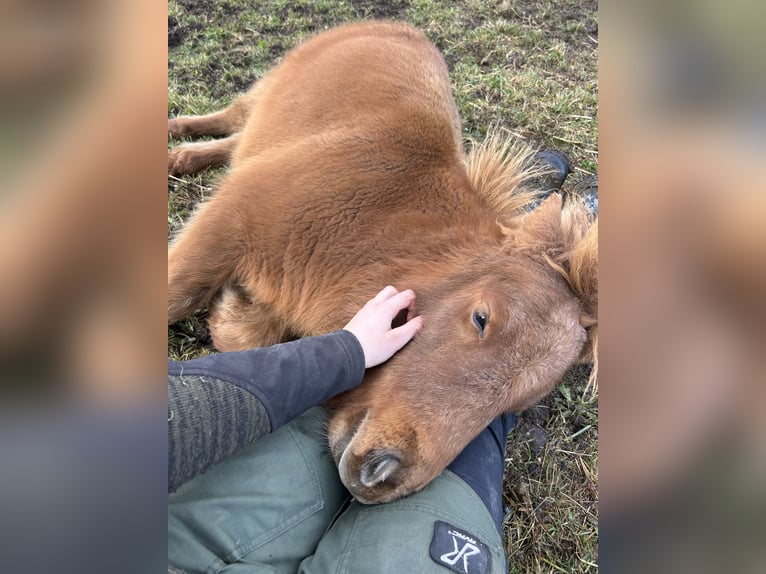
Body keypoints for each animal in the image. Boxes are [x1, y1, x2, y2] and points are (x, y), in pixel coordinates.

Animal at [167, 20, 598, 504]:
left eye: (517, 405)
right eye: (481, 318)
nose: (383, 474)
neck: (379, 219)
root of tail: (401, 28)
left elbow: (249, 338)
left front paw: (233, 311)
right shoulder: (226, 223)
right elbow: (176, 295)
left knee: (238, 138)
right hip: (265, 90)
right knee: (230, 119)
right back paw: (177, 138)